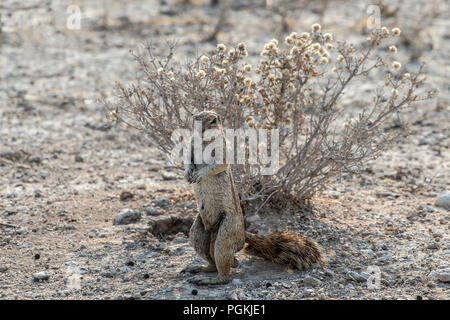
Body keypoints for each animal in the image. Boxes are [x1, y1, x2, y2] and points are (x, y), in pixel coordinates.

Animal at [182, 110, 324, 284]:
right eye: (194, 118)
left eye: (214, 120)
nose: (201, 129)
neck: (205, 142)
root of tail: (243, 234)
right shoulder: (190, 145)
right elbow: (188, 160)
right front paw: (188, 173)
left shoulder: (223, 149)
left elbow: (218, 165)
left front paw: (200, 174)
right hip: (198, 233)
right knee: (212, 258)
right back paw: (201, 268)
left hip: (226, 233)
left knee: (224, 268)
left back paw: (212, 279)